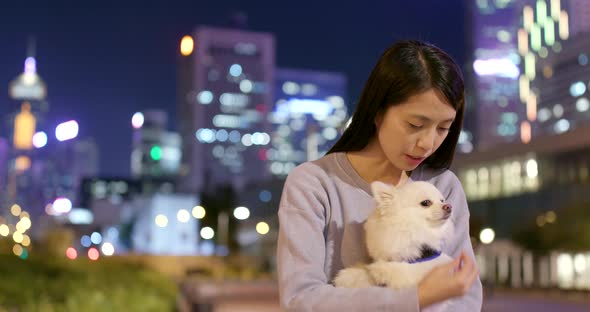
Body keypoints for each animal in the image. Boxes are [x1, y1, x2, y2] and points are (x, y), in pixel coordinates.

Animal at [336, 180, 456, 310]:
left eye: (442, 200)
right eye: (426, 203)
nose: (449, 206)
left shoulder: (429, 262)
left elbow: (408, 270)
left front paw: (384, 270)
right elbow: (366, 271)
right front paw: (351, 276)